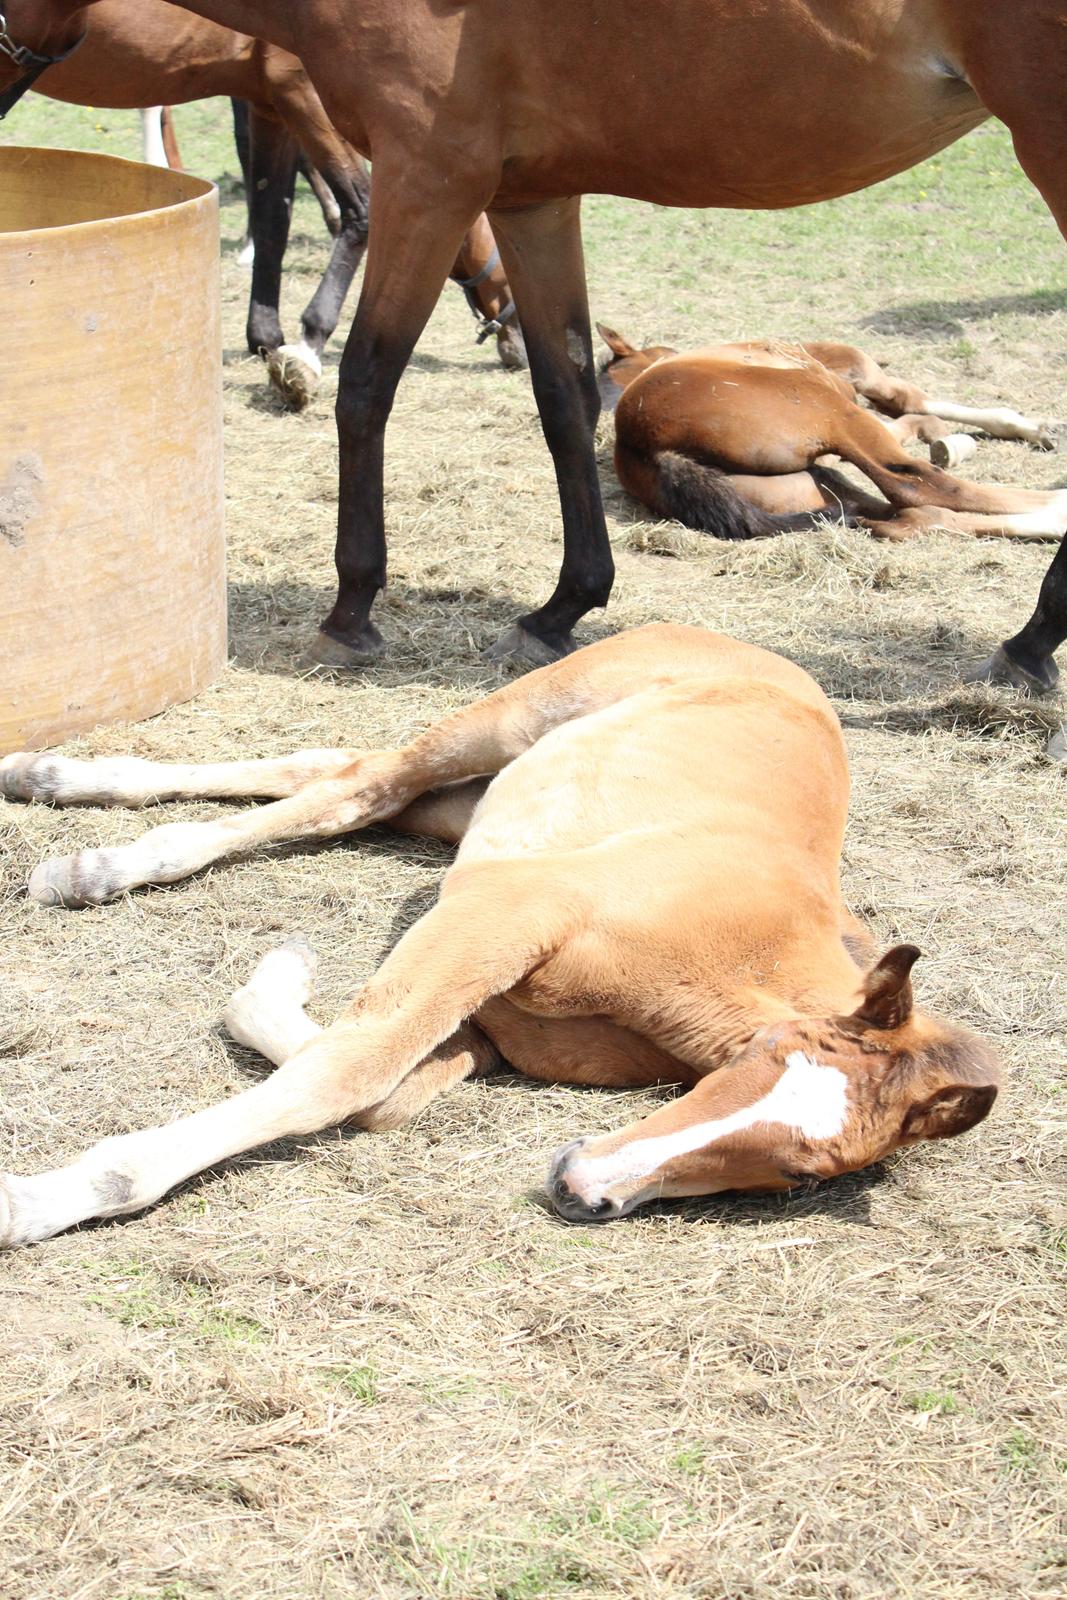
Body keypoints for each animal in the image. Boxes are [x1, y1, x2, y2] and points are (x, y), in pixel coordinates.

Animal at [0, 617, 1004, 1241]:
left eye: (804, 1177)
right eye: (764, 1056)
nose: (580, 1190)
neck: (725, 948)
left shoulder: (491, 1025)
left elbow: (378, 1094)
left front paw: (271, 983)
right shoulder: (503, 912)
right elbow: (344, 1075)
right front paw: (45, 1200)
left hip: (470, 798)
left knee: (340, 776)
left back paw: (58, 780)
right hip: (508, 720)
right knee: (356, 786)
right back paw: (89, 860)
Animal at [2, 0, 1067, 681]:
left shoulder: (424, 174)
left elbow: (365, 382)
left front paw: (351, 607)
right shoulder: (528, 196)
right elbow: (564, 400)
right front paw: (565, 606)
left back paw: (1029, 638)